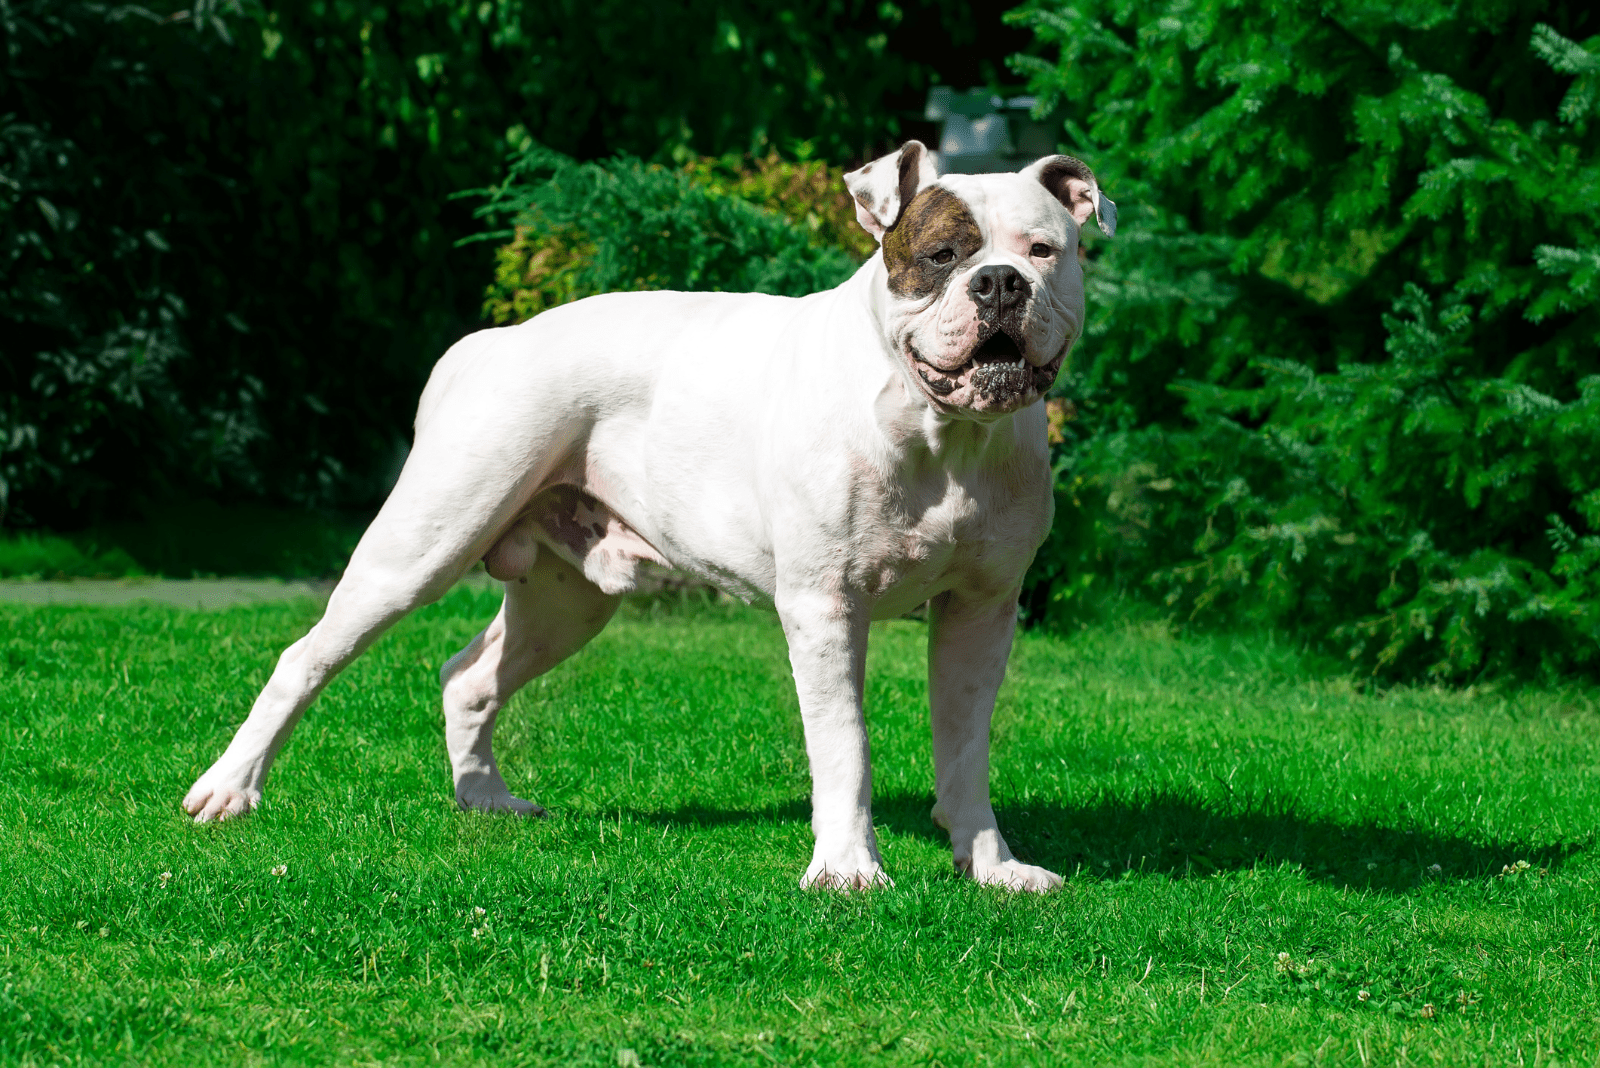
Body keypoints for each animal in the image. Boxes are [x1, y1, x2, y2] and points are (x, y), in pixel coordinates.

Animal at [184, 141, 1113, 895]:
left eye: (1045, 250)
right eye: (942, 255)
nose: (1002, 283)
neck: (943, 434)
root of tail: (494, 340)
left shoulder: (981, 615)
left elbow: (965, 749)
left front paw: (990, 865)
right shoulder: (826, 607)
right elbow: (844, 744)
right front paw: (849, 869)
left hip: (567, 600)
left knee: (470, 676)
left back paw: (485, 799)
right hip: (419, 548)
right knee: (306, 657)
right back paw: (230, 788)